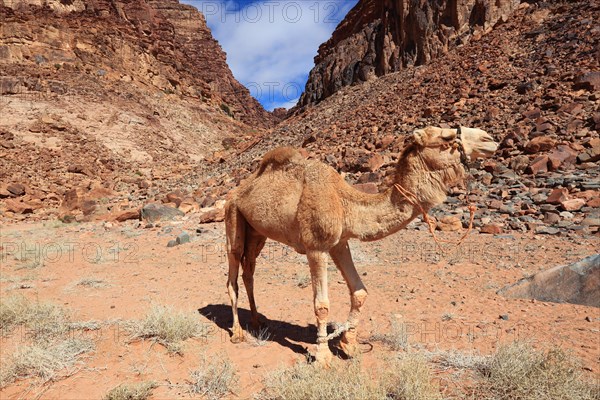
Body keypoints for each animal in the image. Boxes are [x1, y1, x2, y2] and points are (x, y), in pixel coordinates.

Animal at [224, 126, 496, 362]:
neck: (345, 202)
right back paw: (237, 333)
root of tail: (236, 191)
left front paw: (349, 345)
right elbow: (321, 305)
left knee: (249, 270)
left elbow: (360, 292)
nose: (490, 140)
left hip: (257, 232)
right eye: (447, 138)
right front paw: (323, 357)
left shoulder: (340, 244)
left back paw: (258, 321)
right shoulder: (316, 247)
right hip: (233, 216)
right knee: (233, 272)